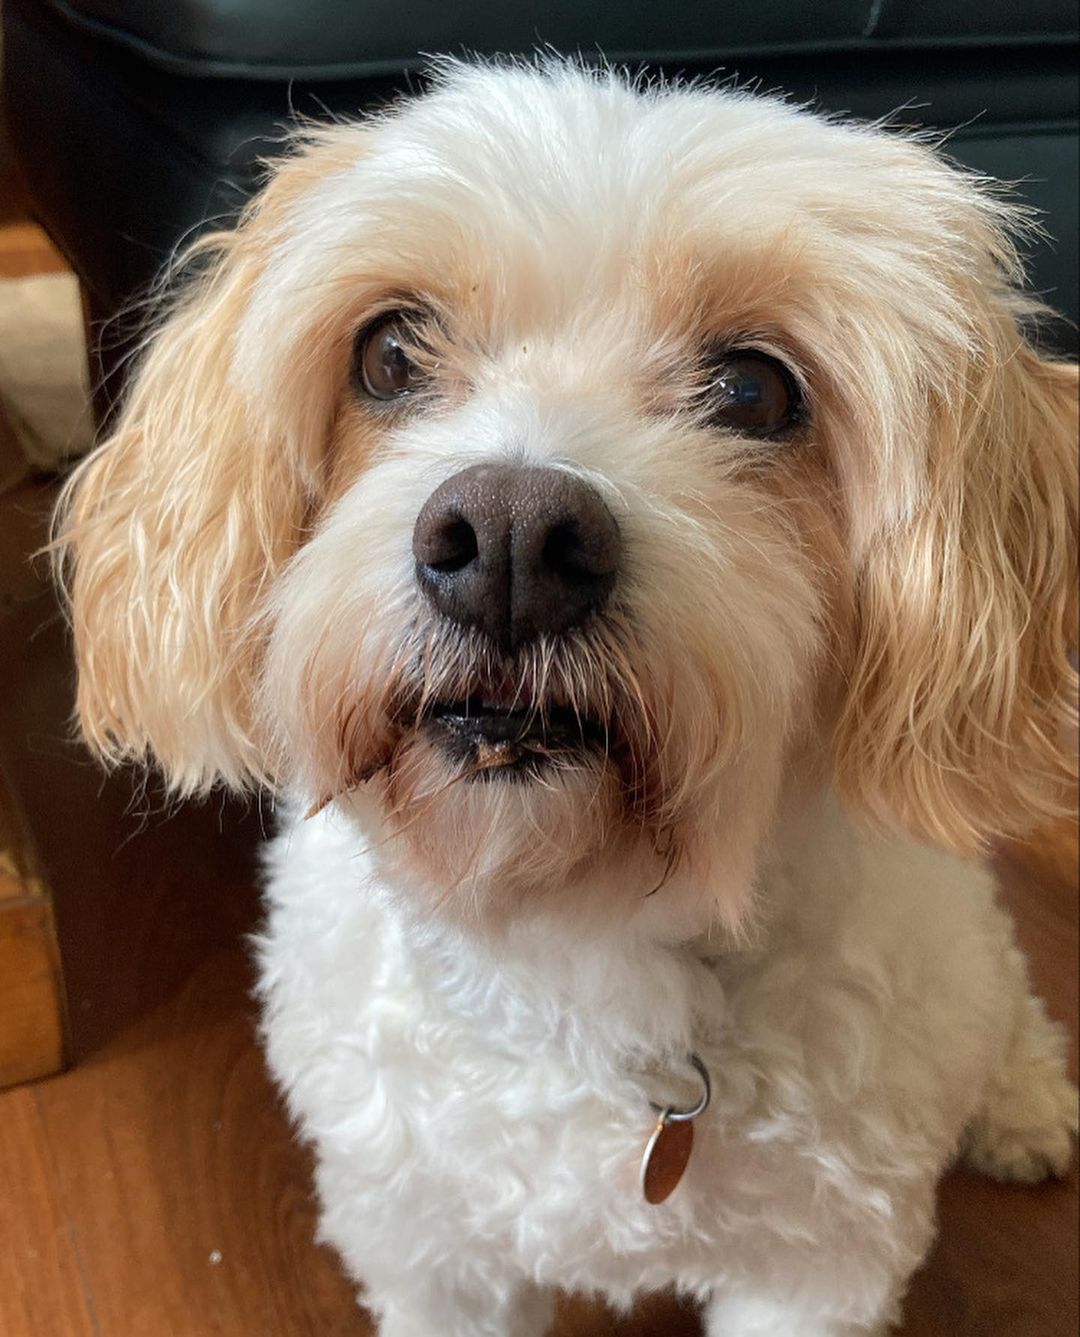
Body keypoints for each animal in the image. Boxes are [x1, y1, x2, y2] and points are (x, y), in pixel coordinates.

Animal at [56, 60, 1077, 1336]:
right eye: (389, 354)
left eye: (756, 390)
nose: (509, 542)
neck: (574, 933)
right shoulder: (433, 1250)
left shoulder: (813, 1263)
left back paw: (1025, 1101)